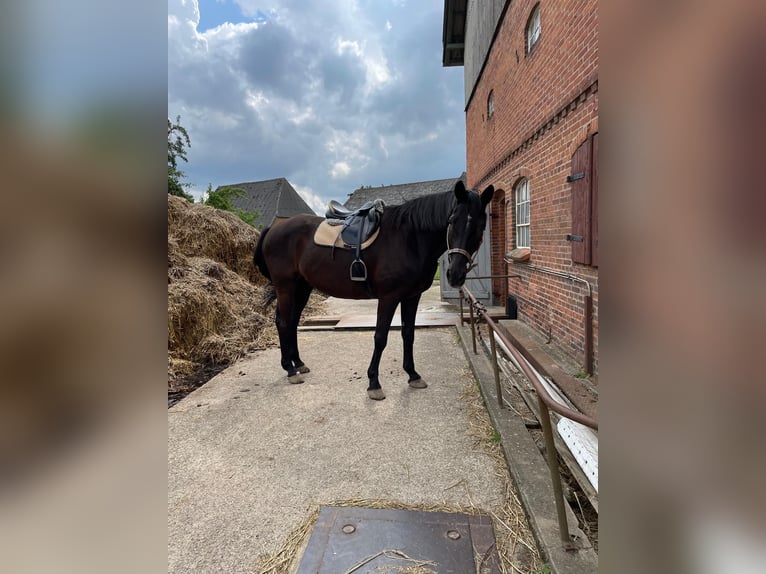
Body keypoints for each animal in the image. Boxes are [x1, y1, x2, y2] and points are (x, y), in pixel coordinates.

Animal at [255, 182, 496, 402]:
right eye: (452, 221)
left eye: (480, 226)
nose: (455, 275)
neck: (409, 238)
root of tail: (273, 230)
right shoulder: (388, 298)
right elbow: (380, 337)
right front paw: (373, 383)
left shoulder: (412, 297)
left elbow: (408, 334)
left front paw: (413, 375)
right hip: (286, 287)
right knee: (284, 323)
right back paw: (290, 370)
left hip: (302, 287)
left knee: (293, 322)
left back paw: (298, 363)